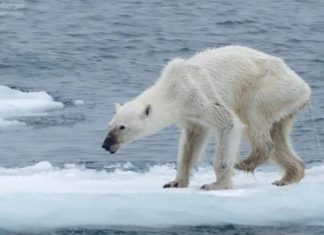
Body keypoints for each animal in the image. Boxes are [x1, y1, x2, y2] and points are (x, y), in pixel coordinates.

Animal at [102, 45, 312, 190]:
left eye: (122, 127)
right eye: (109, 125)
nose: (106, 144)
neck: (172, 88)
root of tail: (304, 87)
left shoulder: (197, 95)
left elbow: (228, 123)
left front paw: (216, 184)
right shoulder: (189, 115)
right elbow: (191, 142)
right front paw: (175, 182)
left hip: (268, 88)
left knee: (251, 115)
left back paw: (246, 162)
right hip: (285, 104)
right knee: (278, 135)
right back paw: (288, 176)